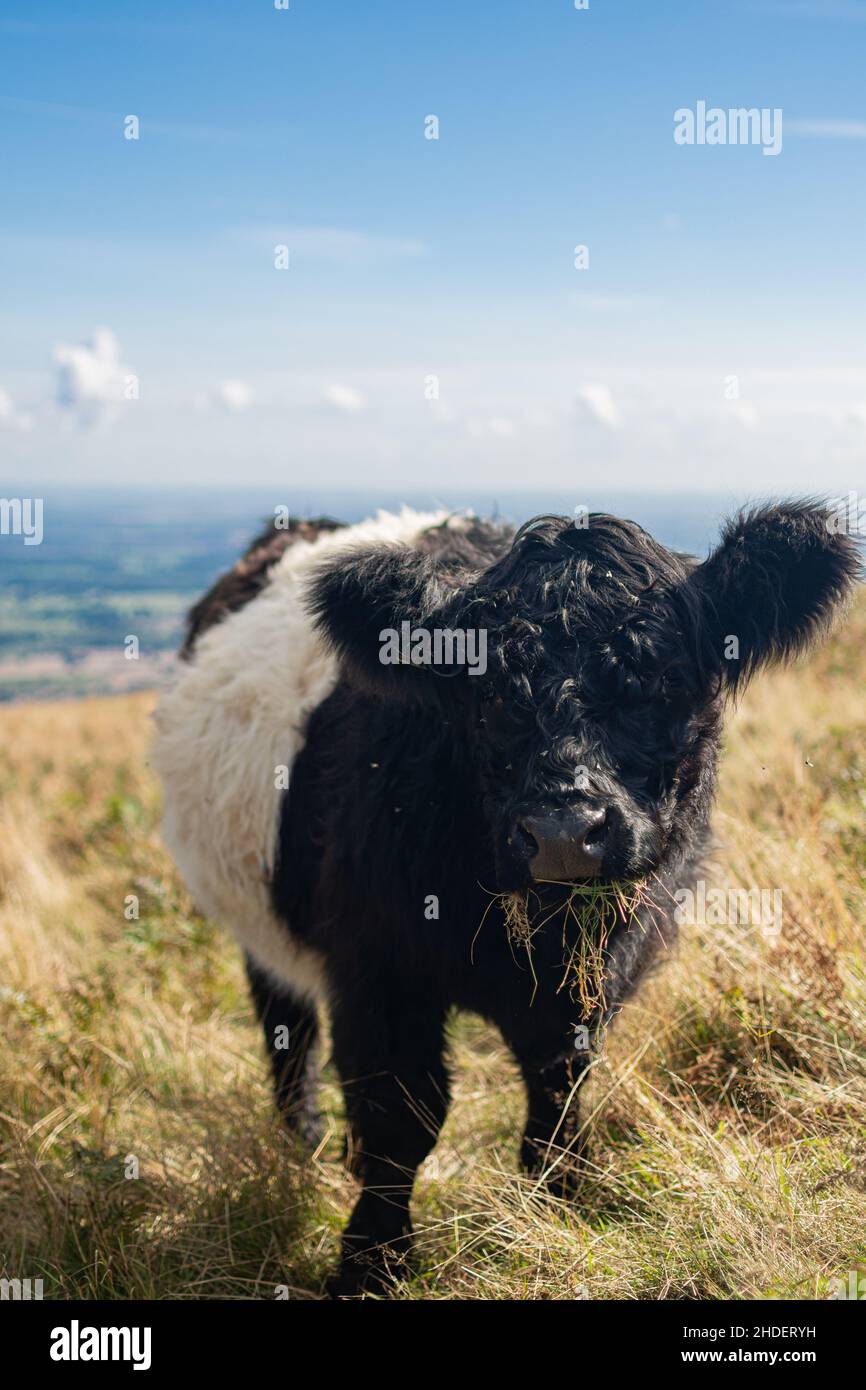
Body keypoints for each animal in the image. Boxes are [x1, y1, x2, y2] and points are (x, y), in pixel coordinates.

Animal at [151, 501, 860, 1295]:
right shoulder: (374, 969)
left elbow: (559, 1090)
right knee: (286, 1028)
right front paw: (370, 1264)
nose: (564, 833)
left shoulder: (596, 975)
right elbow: (402, 1117)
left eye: (664, 680)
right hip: (260, 927)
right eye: (489, 693)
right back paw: (299, 1143)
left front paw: (563, 1203)